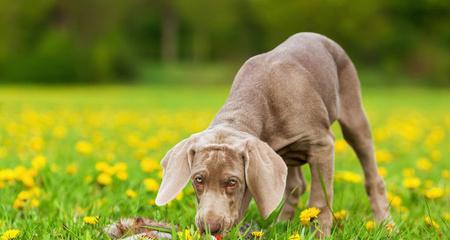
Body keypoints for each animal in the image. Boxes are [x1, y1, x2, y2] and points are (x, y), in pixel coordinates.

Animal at [156, 31, 390, 236]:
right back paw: (280, 225)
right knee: (296, 185)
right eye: (198, 179)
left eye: (232, 182)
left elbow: (320, 199)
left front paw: (320, 234)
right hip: (285, 155)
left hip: (353, 110)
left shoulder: (322, 144)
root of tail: (320, 36)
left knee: (372, 174)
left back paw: (386, 224)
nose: (209, 228)